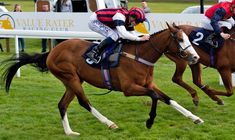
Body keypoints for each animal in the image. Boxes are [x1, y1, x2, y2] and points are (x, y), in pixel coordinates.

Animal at [0, 23, 202, 136]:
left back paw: (69, 132)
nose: (195, 57)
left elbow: (168, 99)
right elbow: (153, 96)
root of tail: (52, 51)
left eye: (187, 38)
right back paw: (109, 123)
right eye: (180, 39)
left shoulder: (148, 83)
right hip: (71, 78)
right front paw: (150, 121)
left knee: (62, 104)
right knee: (84, 102)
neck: (140, 56)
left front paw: (195, 118)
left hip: (73, 81)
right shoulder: (129, 89)